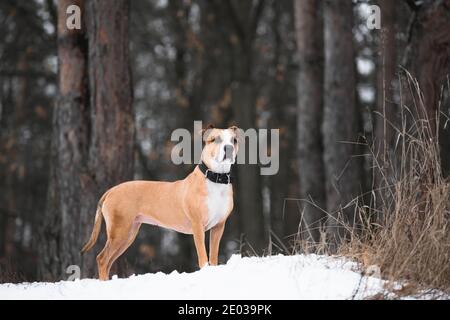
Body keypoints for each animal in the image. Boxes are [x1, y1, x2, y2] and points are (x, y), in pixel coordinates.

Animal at [82, 125, 241, 280]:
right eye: (215, 139)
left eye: (234, 140)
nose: (229, 148)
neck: (216, 178)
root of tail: (111, 191)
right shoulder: (198, 226)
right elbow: (203, 256)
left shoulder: (219, 227)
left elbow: (213, 256)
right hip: (119, 230)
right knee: (102, 259)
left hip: (128, 233)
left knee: (108, 261)